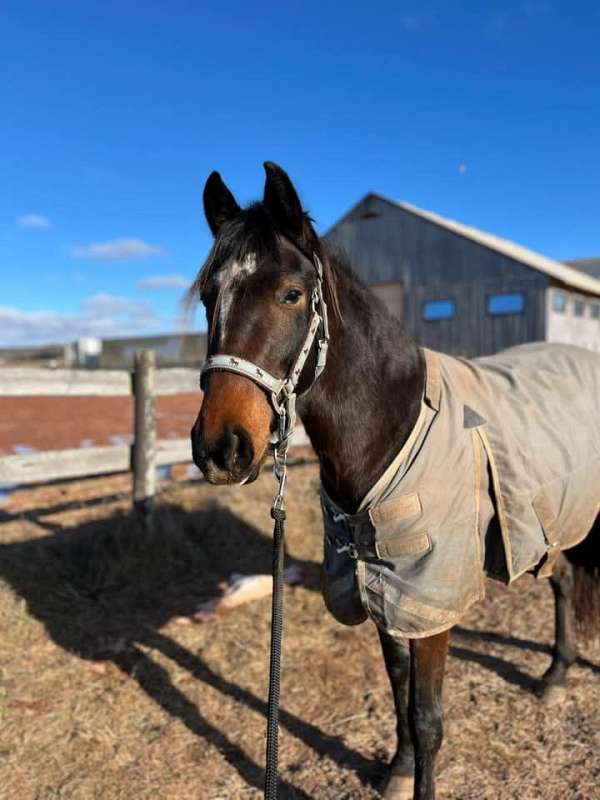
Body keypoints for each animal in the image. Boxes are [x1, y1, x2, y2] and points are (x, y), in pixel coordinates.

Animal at [189, 162, 600, 800]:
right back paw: (555, 674)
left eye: (291, 294)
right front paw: (398, 771)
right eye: (210, 296)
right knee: (562, 582)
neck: (393, 425)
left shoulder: (432, 598)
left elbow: (428, 716)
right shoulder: (382, 584)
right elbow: (397, 689)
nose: (220, 449)